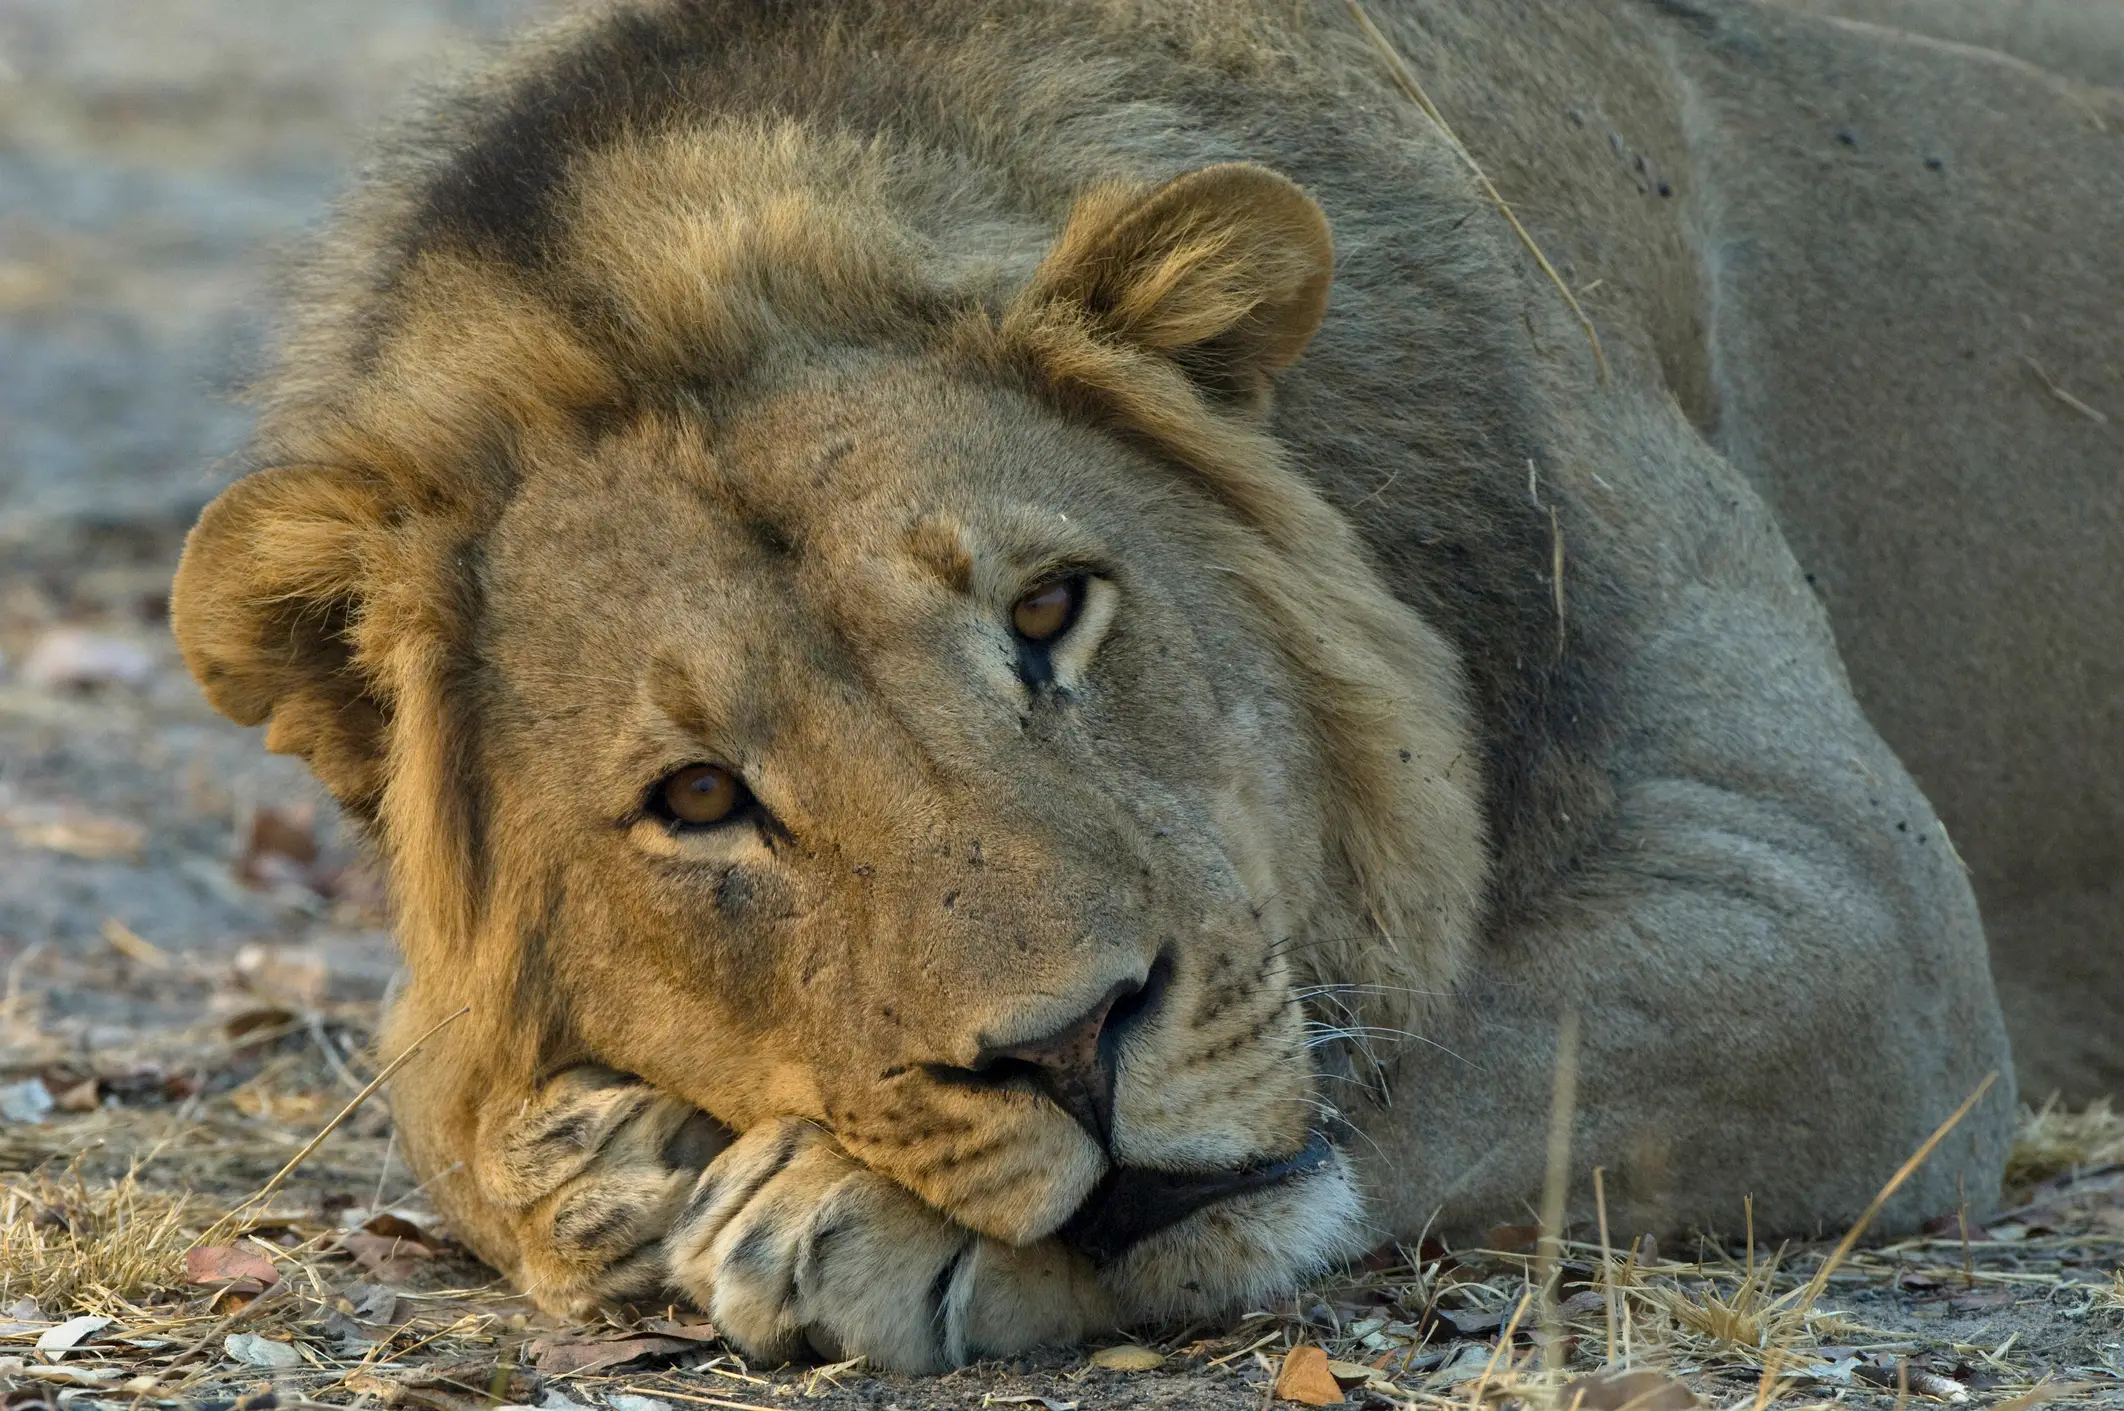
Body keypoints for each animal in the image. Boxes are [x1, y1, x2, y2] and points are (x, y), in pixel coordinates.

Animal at [170, 0, 2120, 1373]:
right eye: (700, 798)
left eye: (1049, 611)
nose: (1066, 1045)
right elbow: (439, 1102)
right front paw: (596, 1159)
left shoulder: (1849, 908)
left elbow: (1463, 1029)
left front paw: (842, 1214)